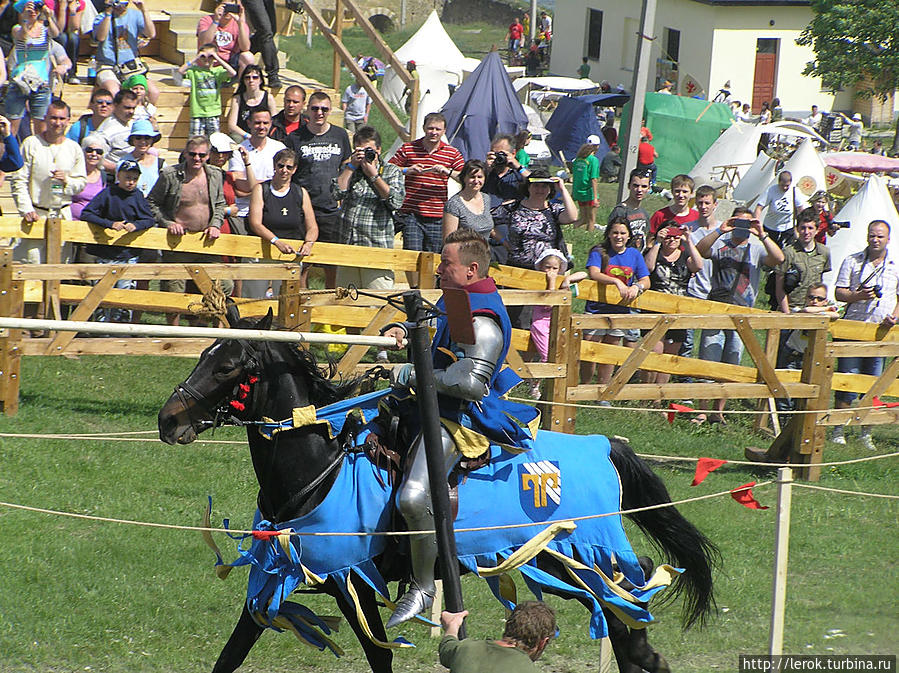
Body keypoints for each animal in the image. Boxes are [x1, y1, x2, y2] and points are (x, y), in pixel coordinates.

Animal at [158, 310, 720, 672]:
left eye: (227, 366)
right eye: (204, 353)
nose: (169, 420)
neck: (320, 470)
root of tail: (604, 445)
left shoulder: (354, 584)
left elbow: (379, 654)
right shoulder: (275, 579)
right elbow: (232, 652)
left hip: (571, 550)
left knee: (629, 588)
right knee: (626, 595)